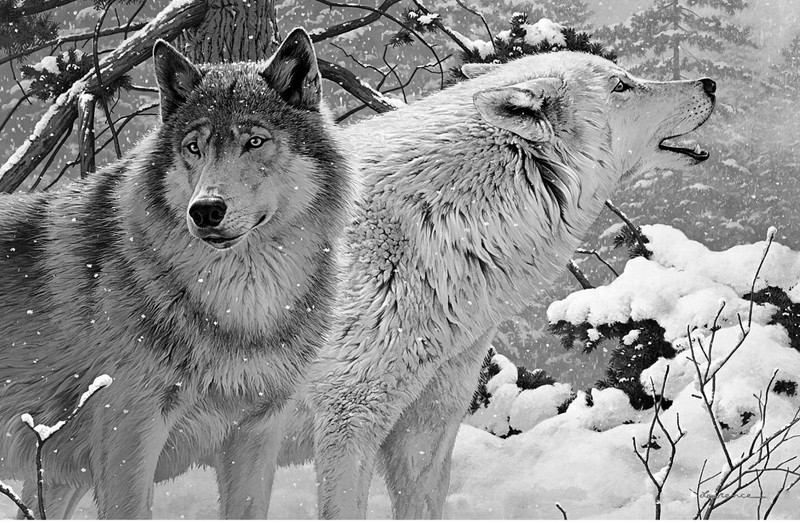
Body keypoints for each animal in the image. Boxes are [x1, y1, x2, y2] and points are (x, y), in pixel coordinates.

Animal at [0, 28, 352, 519]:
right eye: (193, 147)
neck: (243, 309)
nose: (205, 210)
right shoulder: (129, 432)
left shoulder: (257, 430)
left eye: (255, 142)